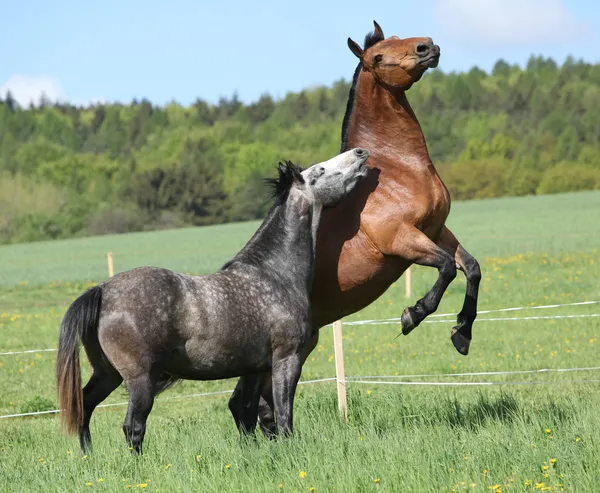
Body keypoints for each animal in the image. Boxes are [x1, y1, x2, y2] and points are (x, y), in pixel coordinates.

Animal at [56, 147, 370, 454]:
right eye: (320, 170)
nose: (360, 153)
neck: (273, 274)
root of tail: (103, 290)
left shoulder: (255, 369)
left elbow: (249, 414)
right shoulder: (286, 359)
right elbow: (283, 416)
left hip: (107, 373)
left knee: (85, 407)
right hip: (139, 379)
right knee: (132, 426)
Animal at [227, 20, 480, 434]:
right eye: (377, 57)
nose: (427, 47)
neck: (394, 169)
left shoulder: (438, 231)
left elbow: (471, 269)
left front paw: (462, 334)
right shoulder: (403, 240)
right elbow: (445, 269)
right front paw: (412, 315)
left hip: (302, 343)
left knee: (259, 404)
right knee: (242, 403)